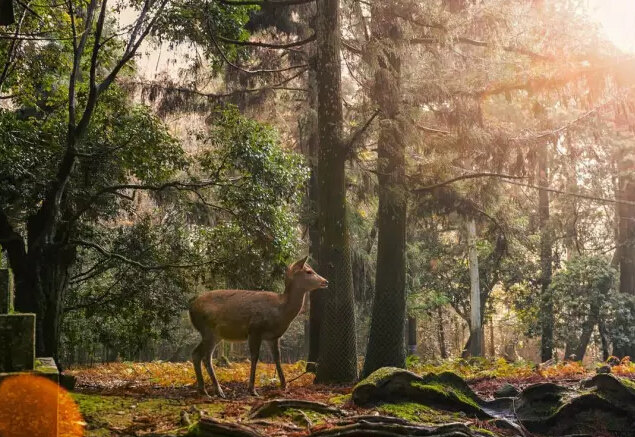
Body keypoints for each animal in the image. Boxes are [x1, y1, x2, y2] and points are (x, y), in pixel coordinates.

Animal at [188, 254, 328, 396]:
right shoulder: (255, 329)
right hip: (208, 329)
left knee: (197, 354)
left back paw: (204, 389)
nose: (326, 281)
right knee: (205, 357)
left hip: (215, 334)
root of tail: (191, 308)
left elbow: (277, 358)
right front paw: (252, 389)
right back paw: (218, 390)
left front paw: (284, 385)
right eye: (308, 271)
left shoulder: (273, 336)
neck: (280, 311)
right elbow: (255, 357)